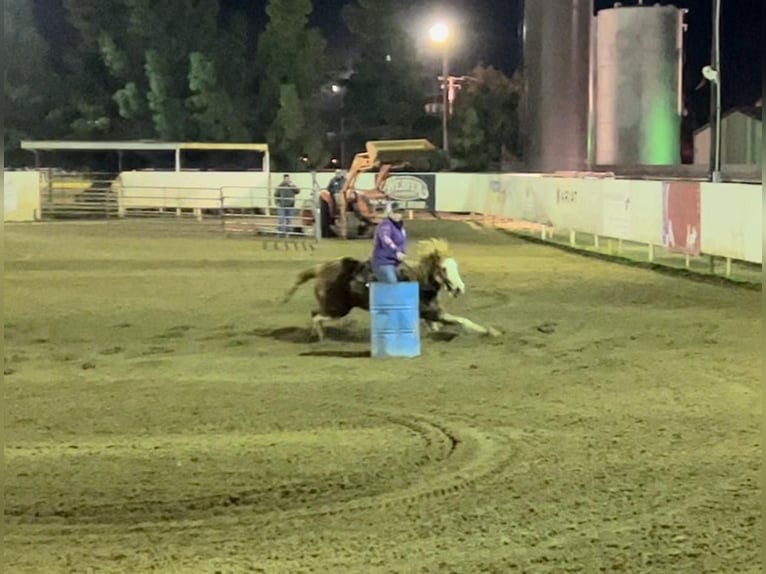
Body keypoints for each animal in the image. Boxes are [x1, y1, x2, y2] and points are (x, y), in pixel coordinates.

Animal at [282, 238, 504, 342]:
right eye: (443, 268)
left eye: (455, 266)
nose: (459, 288)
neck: (418, 280)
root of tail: (322, 268)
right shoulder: (430, 312)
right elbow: (461, 320)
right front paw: (491, 332)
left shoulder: (429, 313)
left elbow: (436, 327)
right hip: (338, 308)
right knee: (317, 317)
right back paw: (320, 338)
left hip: (332, 306)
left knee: (314, 314)